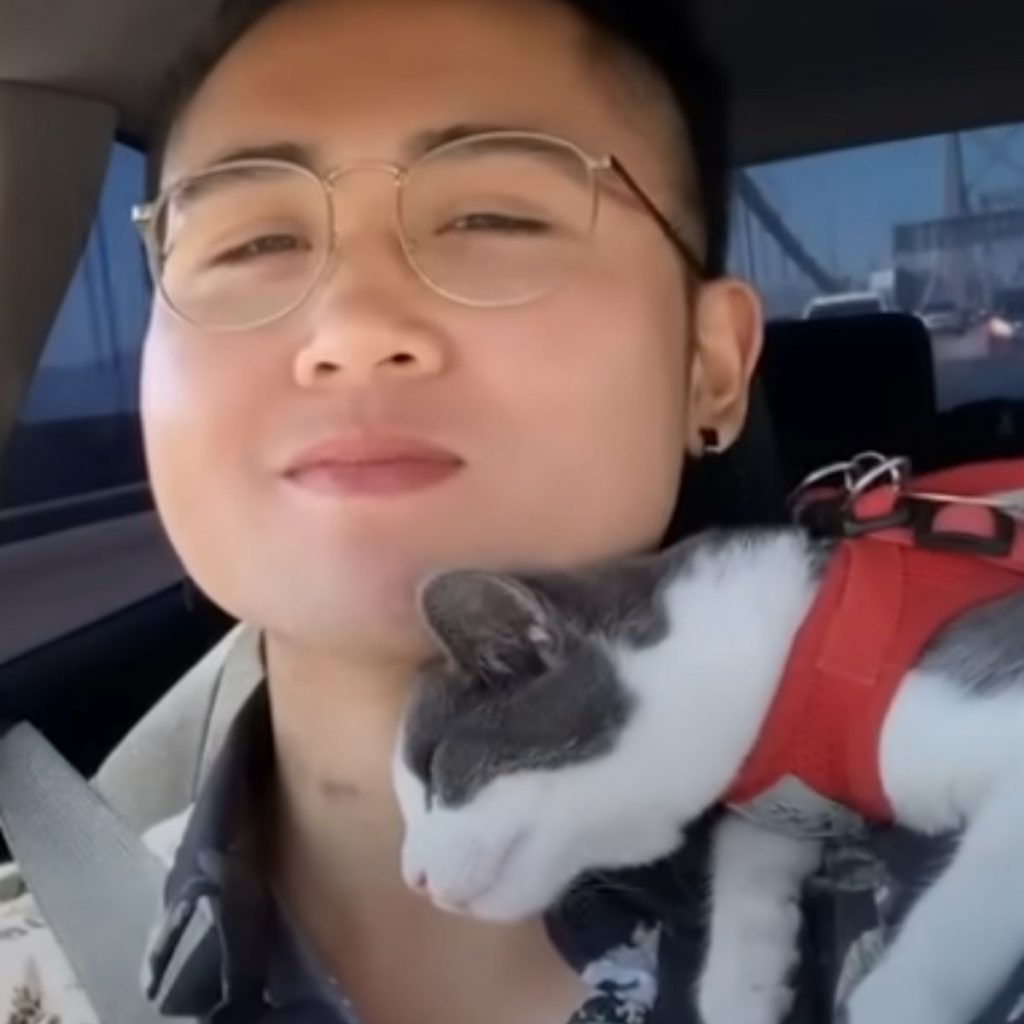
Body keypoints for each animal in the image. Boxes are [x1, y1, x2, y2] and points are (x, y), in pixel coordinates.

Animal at [393, 528, 1024, 1024]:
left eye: (435, 768)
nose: (413, 880)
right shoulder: (788, 797)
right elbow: (747, 852)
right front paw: (745, 986)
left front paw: (892, 1002)